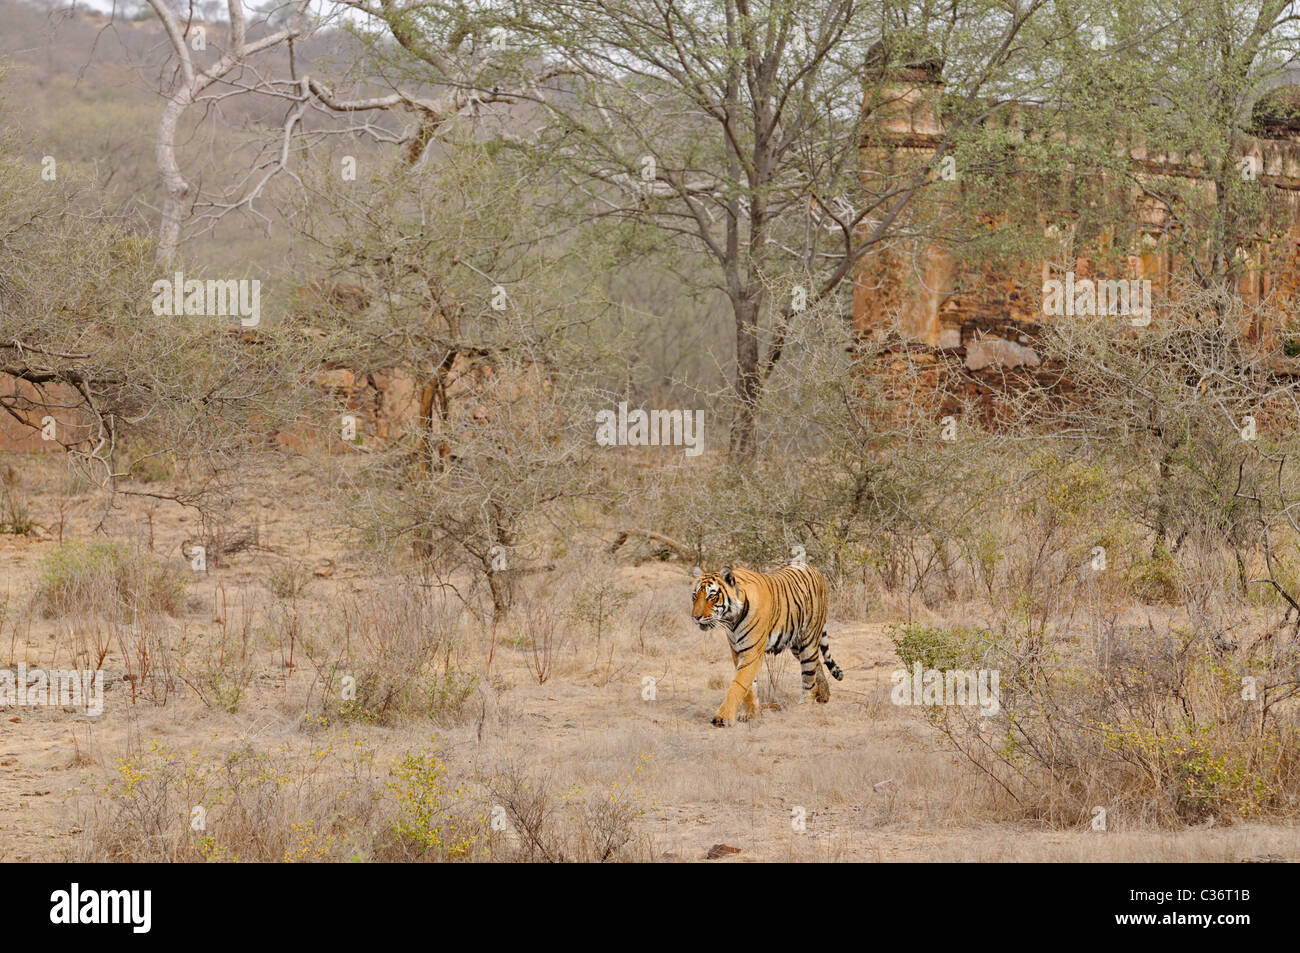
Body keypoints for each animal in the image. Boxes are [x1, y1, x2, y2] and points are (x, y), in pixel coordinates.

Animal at [691, 561, 842, 722]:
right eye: (695, 596)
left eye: (711, 596)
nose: (695, 617)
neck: (732, 620)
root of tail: (814, 569)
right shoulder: (737, 650)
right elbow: (750, 686)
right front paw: (751, 713)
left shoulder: (751, 651)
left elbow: (739, 683)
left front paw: (722, 718)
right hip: (796, 644)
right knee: (817, 663)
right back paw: (823, 694)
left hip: (808, 640)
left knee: (809, 674)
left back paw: (805, 706)